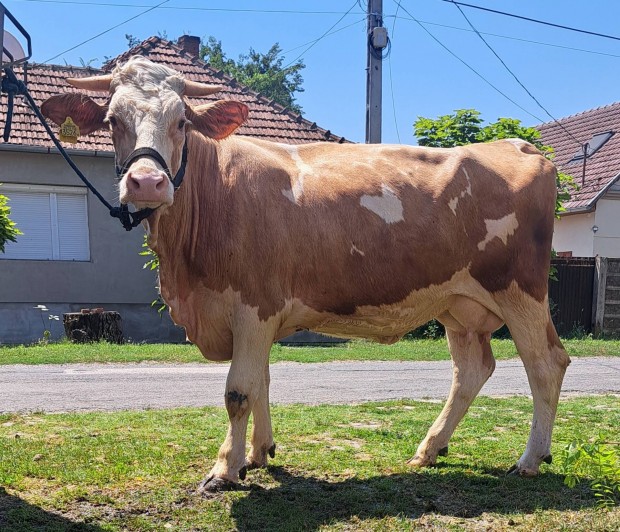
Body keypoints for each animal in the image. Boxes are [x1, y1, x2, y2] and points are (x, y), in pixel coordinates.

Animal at [41, 56, 568, 492]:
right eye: (113, 120)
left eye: (182, 121)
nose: (147, 183)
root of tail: (519, 146)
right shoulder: (256, 315)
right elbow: (261, 382)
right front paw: (258, 454)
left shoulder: (253, 305)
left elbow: (238, 391)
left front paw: (224, 469)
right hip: (458, 304)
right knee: (471, 370)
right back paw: (429, 450)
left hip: (520, 291)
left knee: (546, 364)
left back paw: (529, 459)